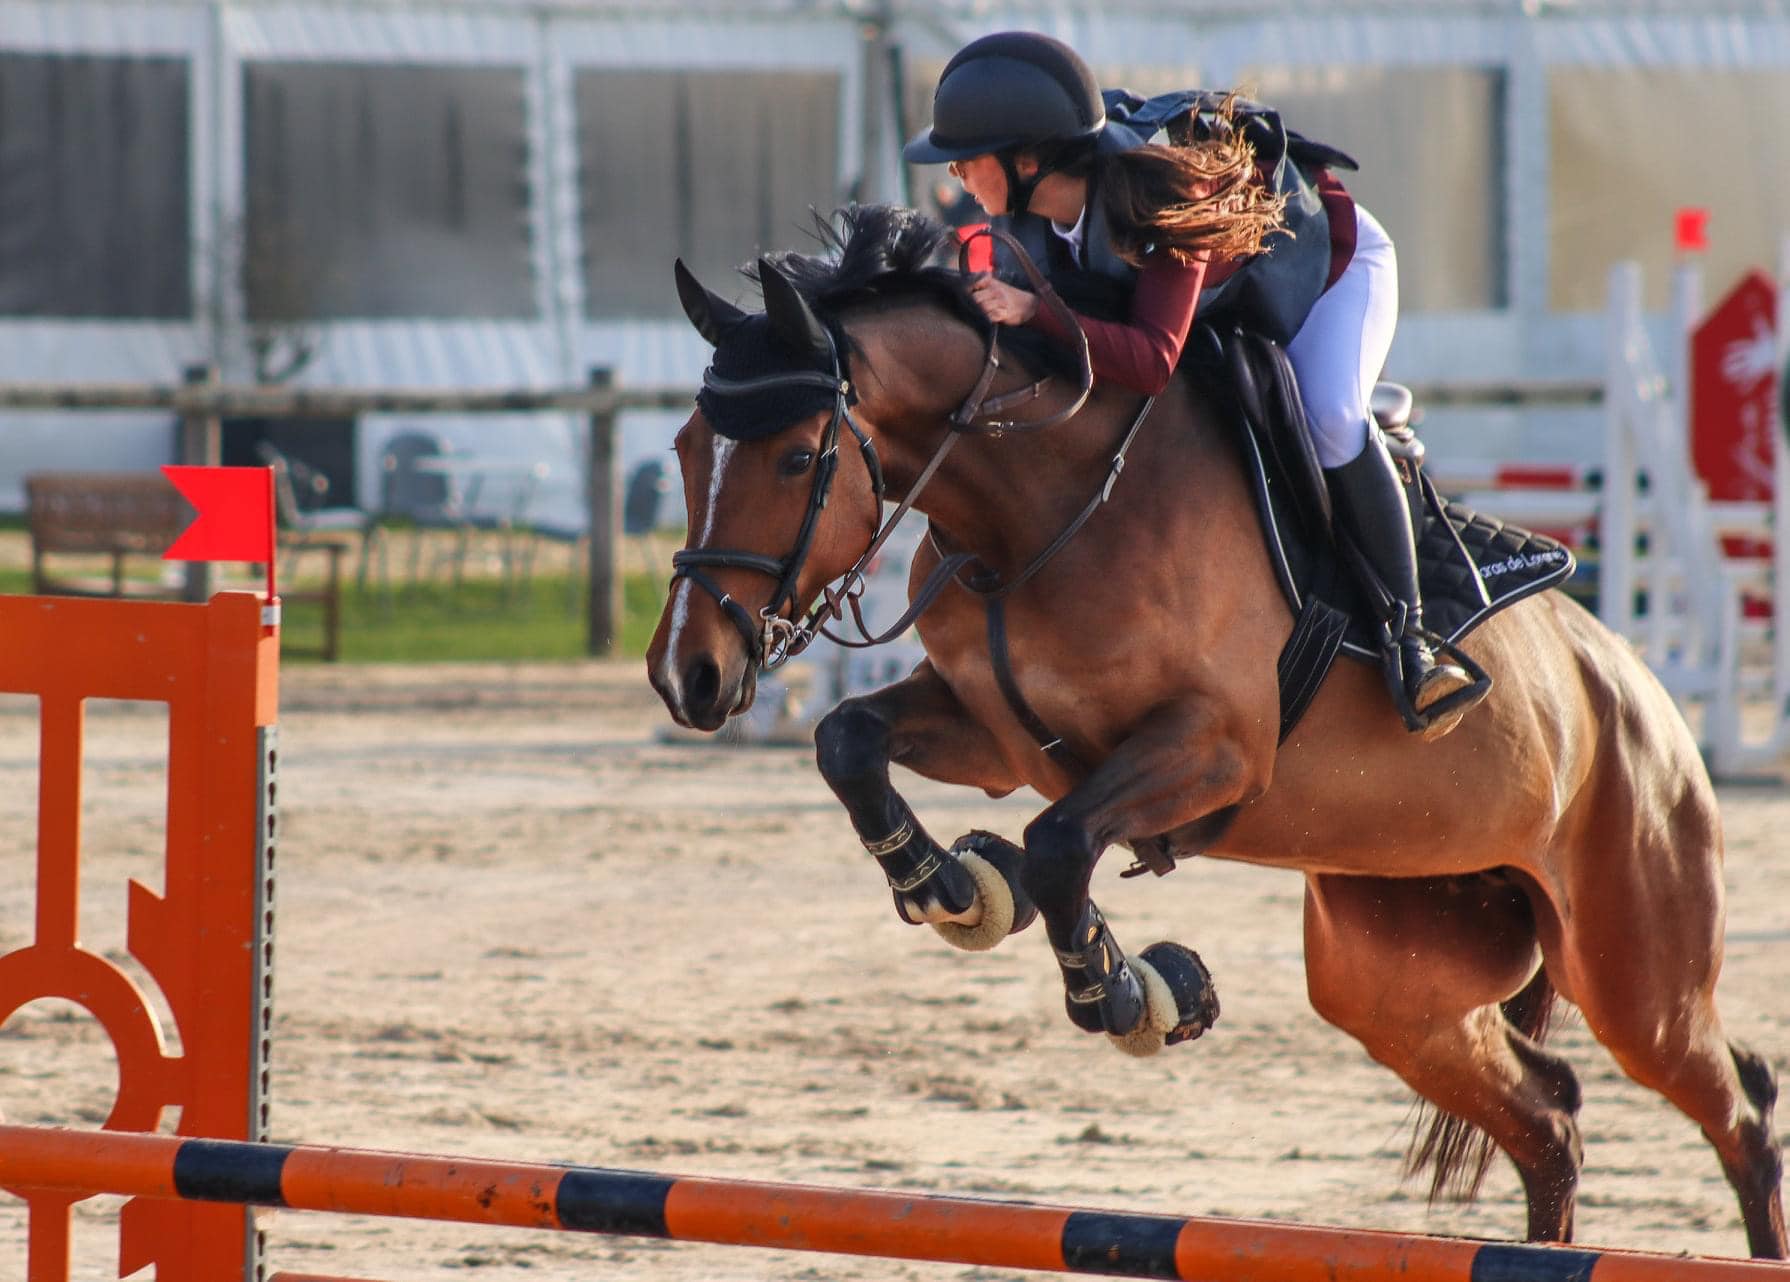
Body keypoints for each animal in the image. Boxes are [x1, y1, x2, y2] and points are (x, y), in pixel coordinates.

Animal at [651, 205, 1782, 1260]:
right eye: (684, 448)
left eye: (799, 457)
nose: (685, 674)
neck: (1043, 507)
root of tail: (1633, 688)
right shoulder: (997, 736)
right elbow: (848, 739)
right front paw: (951, 885)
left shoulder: (1212, 749)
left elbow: (1061, 842)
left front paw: (1123, 988)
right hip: (1395, 975)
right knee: (1548, 1121)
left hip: (1634, 972)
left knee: (1736, 1111)